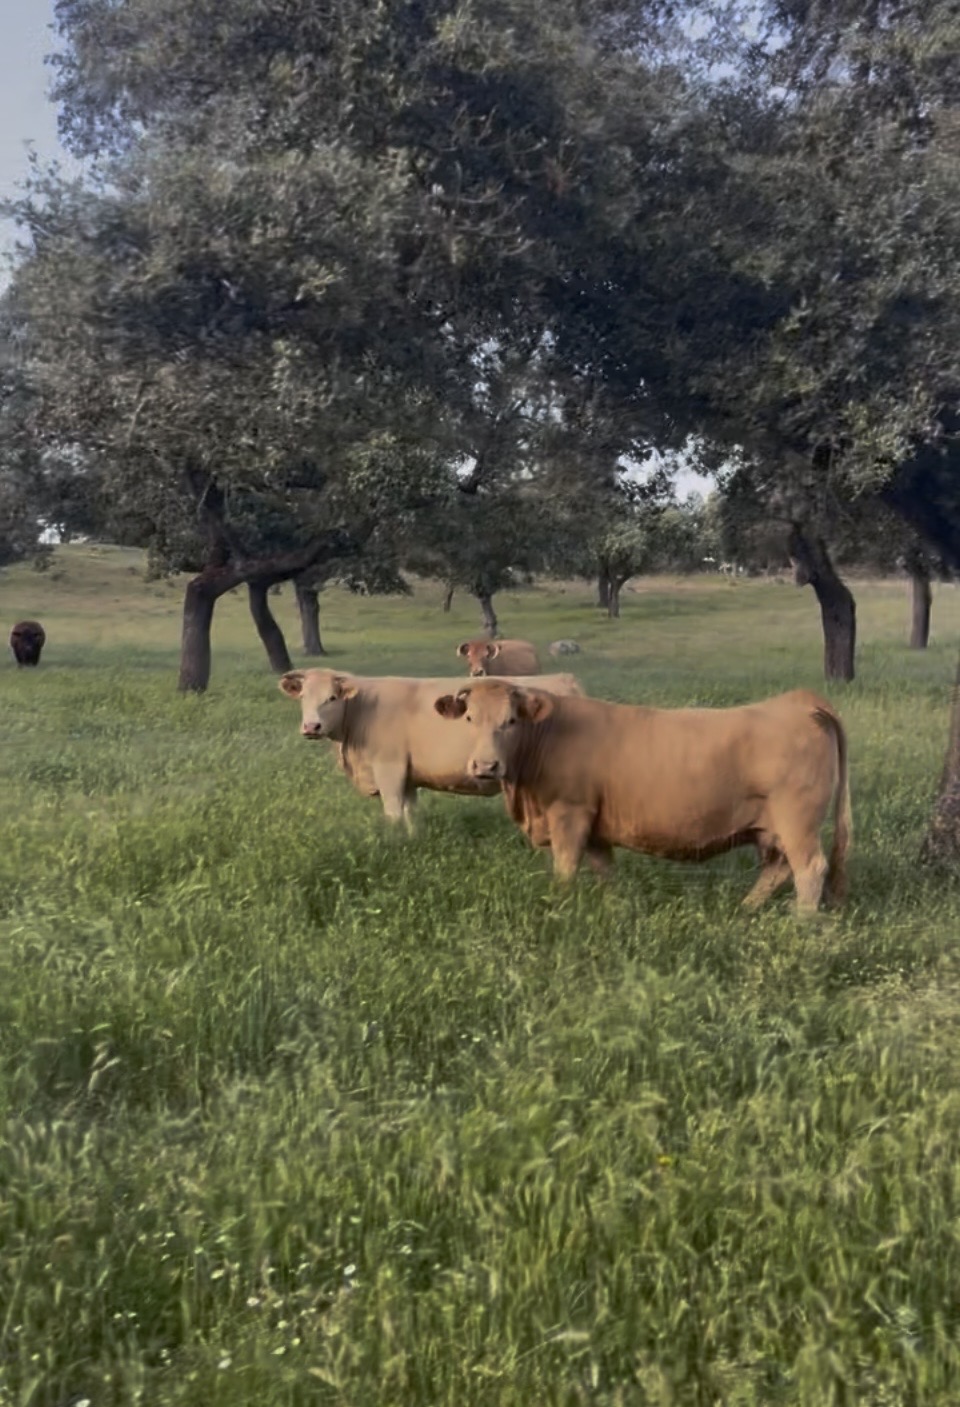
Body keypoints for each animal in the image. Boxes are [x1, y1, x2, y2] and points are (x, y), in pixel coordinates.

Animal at [278, 668, 583, 829]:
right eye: (303, 696)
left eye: (332, 698)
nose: (311, 726)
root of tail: (565, 678)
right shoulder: (408, 776)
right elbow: (410, 814)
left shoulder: (389, 769)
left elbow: (393, 814)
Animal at [432, 681, 851, 914]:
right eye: (469, 718)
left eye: (511, 720)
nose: (485, 766)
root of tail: (800, 701)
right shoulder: (596, 828)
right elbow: (606, 874)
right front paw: (615, 911)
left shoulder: (569, 814)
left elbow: (565, 872)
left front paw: (560, 912)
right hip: (771, 829)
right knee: (778, 869)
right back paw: (743, 912)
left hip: (797, 821)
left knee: (810, 869)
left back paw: (800, 925)